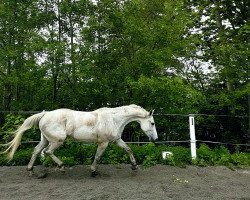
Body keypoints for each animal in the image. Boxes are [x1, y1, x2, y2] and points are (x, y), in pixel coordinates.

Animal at [1, 104, 157, 177]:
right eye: (152, 123)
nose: (155, 139)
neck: (113, 119)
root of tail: (45, 114)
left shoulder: (116, 140)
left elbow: (128, 149)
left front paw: (134, 167)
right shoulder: (104, 143)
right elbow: (98, 156)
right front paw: (93, 171)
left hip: (45, 140)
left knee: (36, 151)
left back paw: (31, 171)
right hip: (57, 140)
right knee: (48, 152)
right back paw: (62, 167)